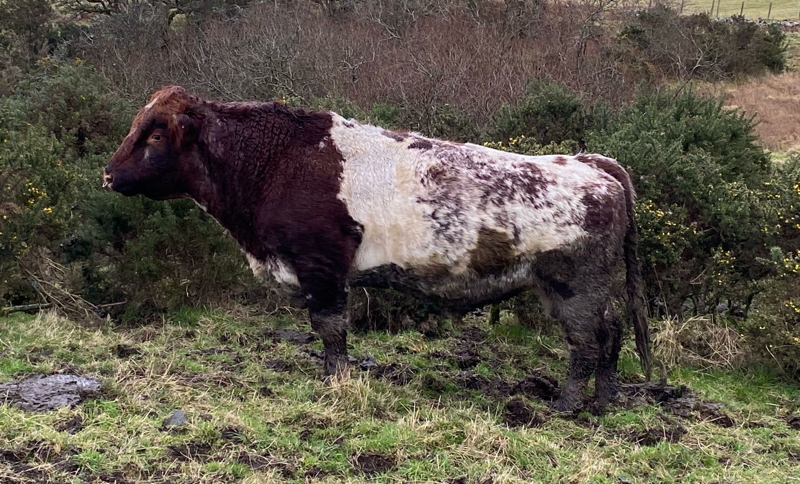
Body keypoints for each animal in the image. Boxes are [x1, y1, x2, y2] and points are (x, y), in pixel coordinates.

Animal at [104, 85, 651, 413]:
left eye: (156, 133)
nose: (108, 175)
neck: (275, 162)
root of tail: (588, 162)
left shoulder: (322, 268)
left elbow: (330, 329)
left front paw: (335, 382)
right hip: (577, 290)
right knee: (612, 332)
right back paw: (606, 399)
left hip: (572, 287)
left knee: (587, 342)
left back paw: (568, 404)